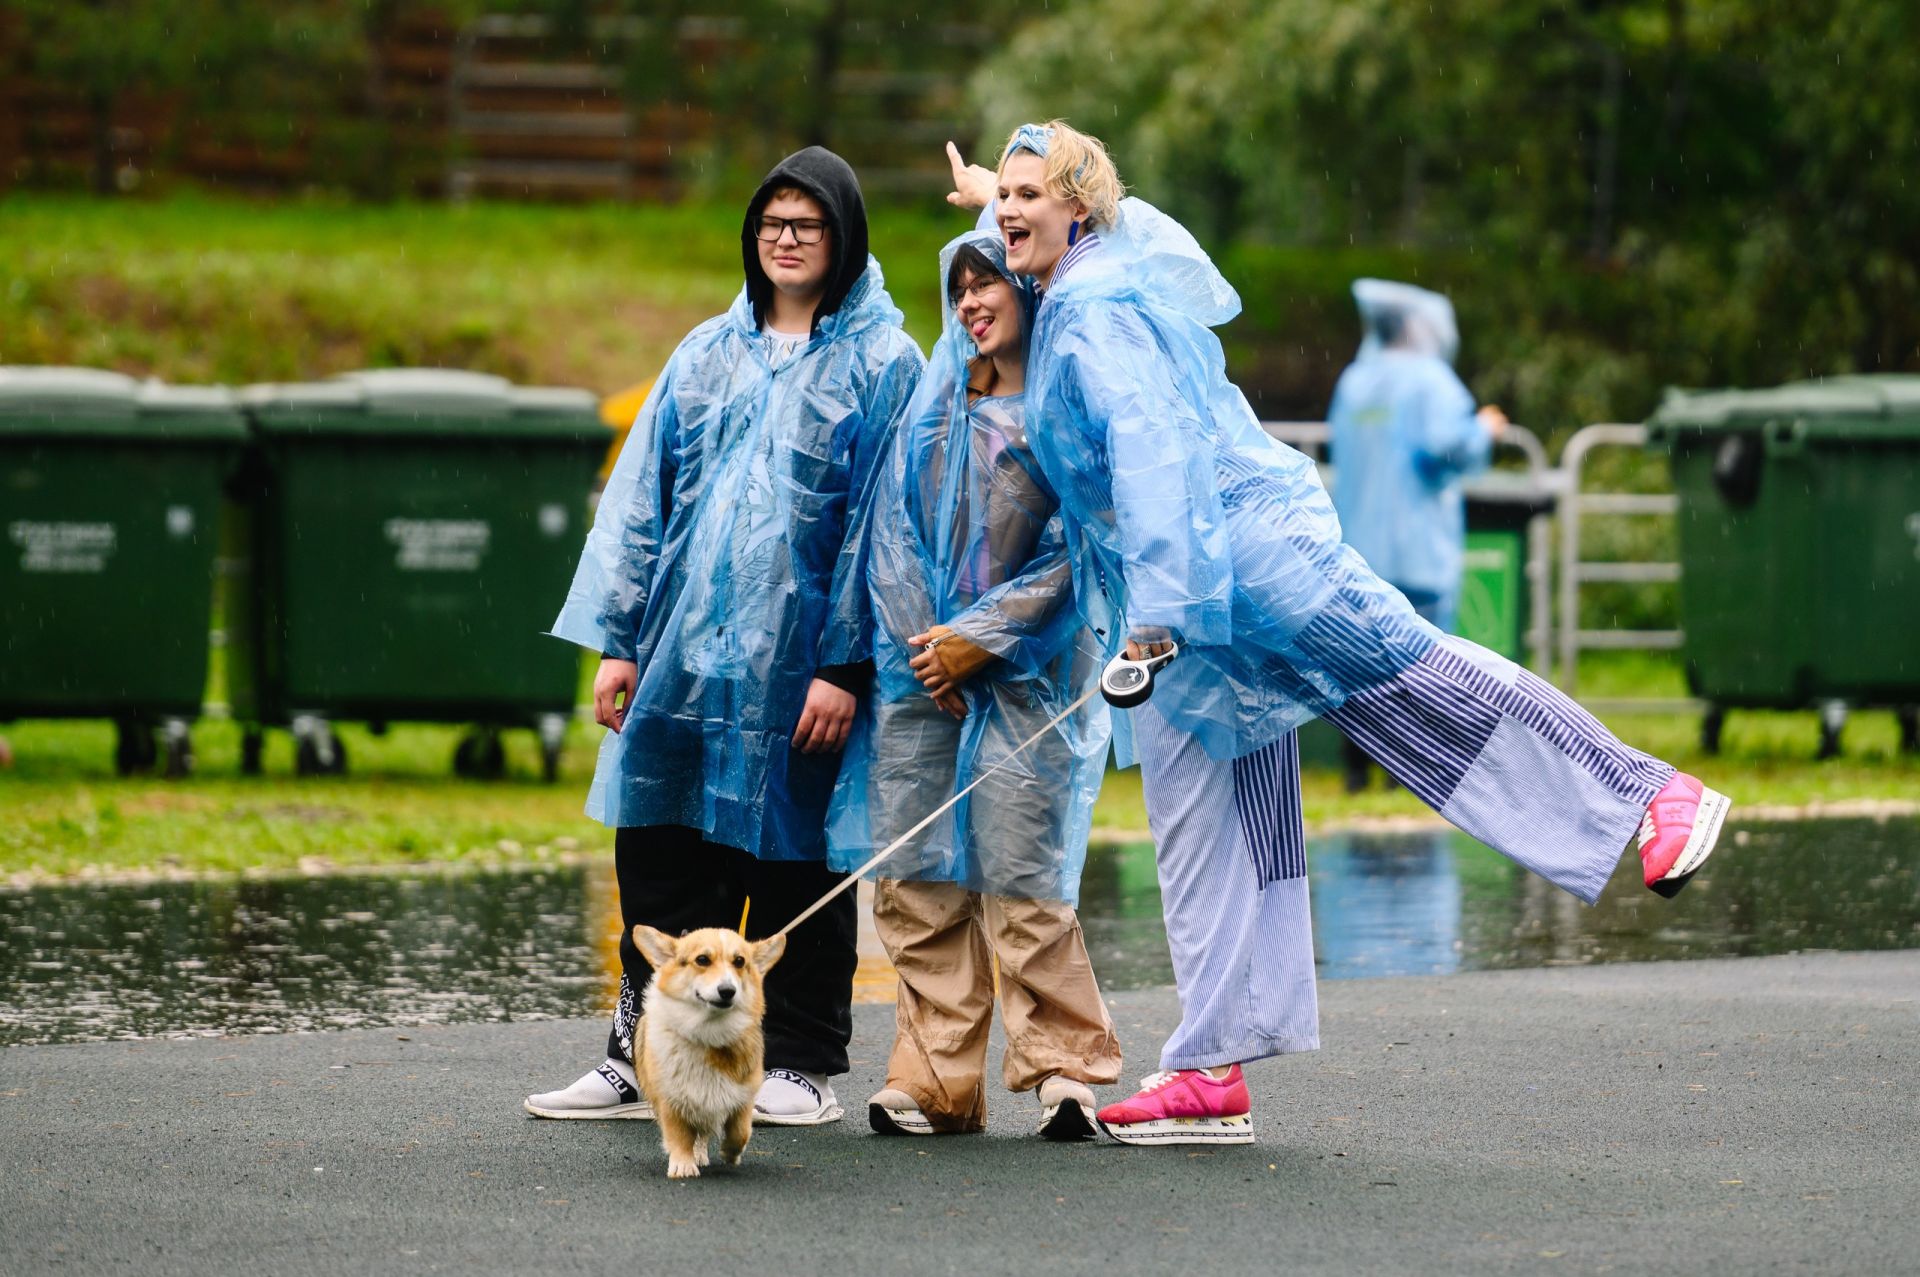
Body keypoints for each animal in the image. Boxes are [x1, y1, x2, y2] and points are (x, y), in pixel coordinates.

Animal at [629, 921, 779, 1182]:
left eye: (739, 961)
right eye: (702, 960)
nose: (728, 990)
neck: (708, 1033)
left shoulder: (742, 1097)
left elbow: (741, 1131)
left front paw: (730, 1153)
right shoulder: (672, 1100)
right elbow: (680, 1136)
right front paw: (682, 1165)